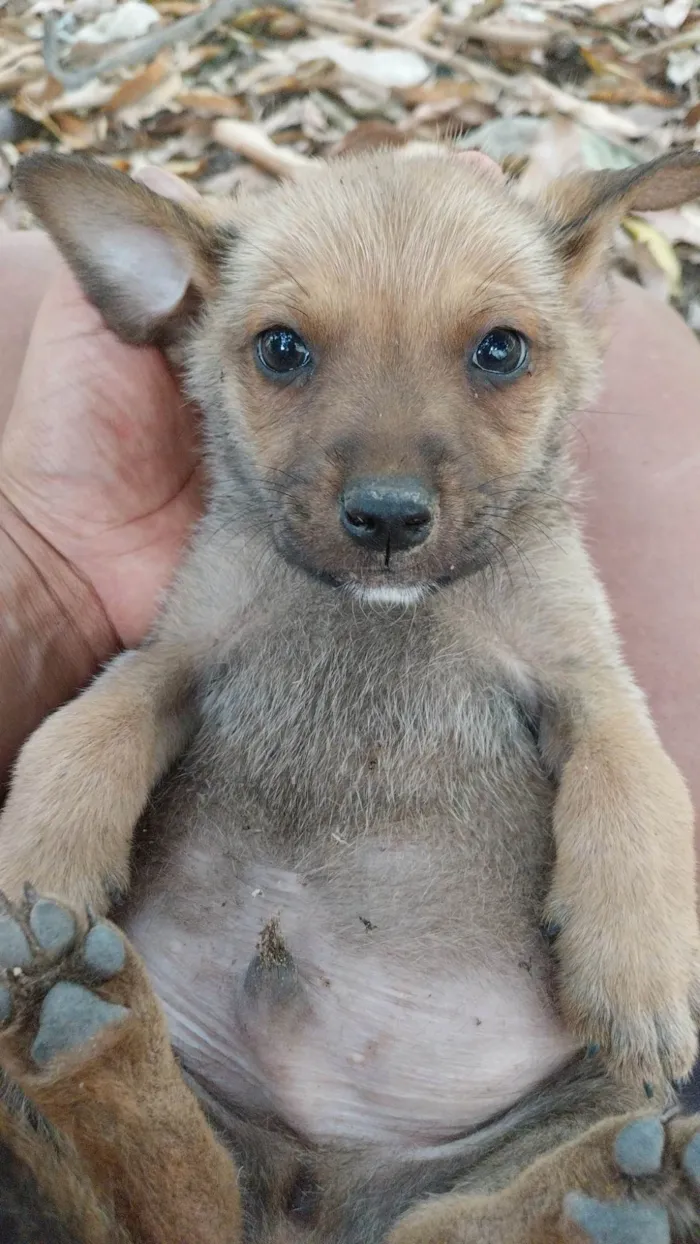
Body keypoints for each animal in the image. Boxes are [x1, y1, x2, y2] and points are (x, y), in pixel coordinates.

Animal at [1, 145, 700, 1244]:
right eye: (281, 350)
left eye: (501, 351)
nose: (387, 517)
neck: (378, 617)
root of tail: (311, 1182)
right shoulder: (175, 655)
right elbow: (78, 736)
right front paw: (35, 866)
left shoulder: (588, 685)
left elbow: (640, 790)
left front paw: (638, 961)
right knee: (183, 1195)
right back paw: (83, 1026)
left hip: (570, 1112)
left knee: (448, 1223)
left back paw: (619, 1198)